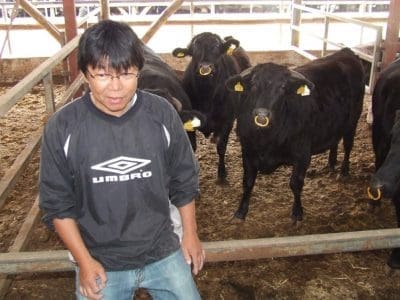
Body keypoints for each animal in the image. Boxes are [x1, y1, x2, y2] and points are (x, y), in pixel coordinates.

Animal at [172, 32, 250, 183]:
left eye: (216, 48)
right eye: (194, 50)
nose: (205, 67)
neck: (206, 94)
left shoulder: (227, 122)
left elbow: (221, 147)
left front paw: (222, 174)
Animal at [227, 48, 364, 220]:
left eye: (282, 87)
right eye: (253, 85)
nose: (262, 113)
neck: (266, 138)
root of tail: (346, 52)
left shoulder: (302, 155)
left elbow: (296, 184)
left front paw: (297, 212)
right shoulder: (247, 151)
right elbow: (248, 182)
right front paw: (241, 211)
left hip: (352, 122)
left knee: (348, 146)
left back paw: (344, 171)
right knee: (335, 141)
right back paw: (331, 163)